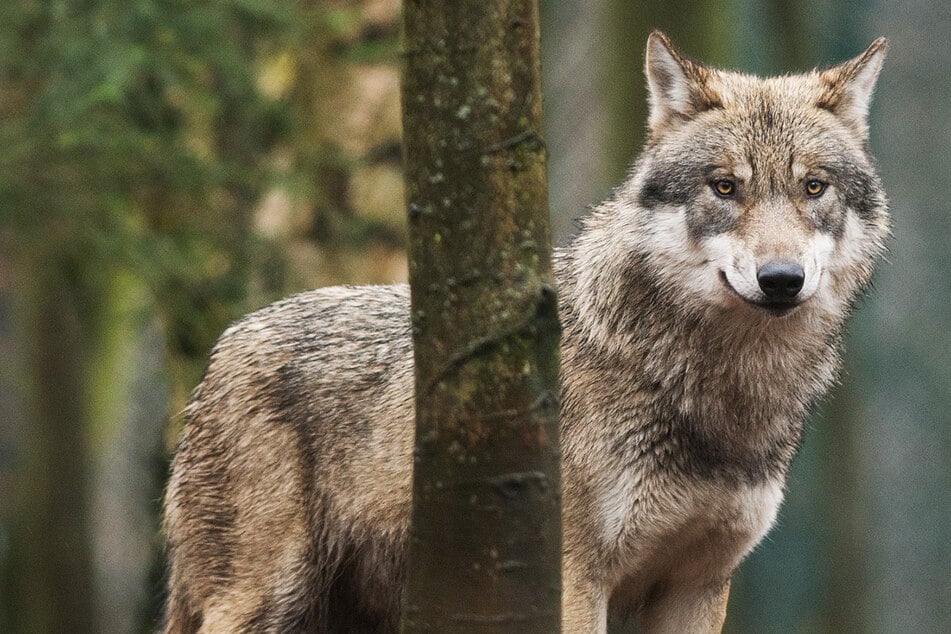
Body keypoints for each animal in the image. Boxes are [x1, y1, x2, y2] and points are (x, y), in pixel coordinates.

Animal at [163, 31, 889, 633]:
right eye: (725, 187)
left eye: (813, 187)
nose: (781, 279)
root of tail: (224, 345)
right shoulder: (574, 581)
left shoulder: (697, 586)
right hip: (266, 602)